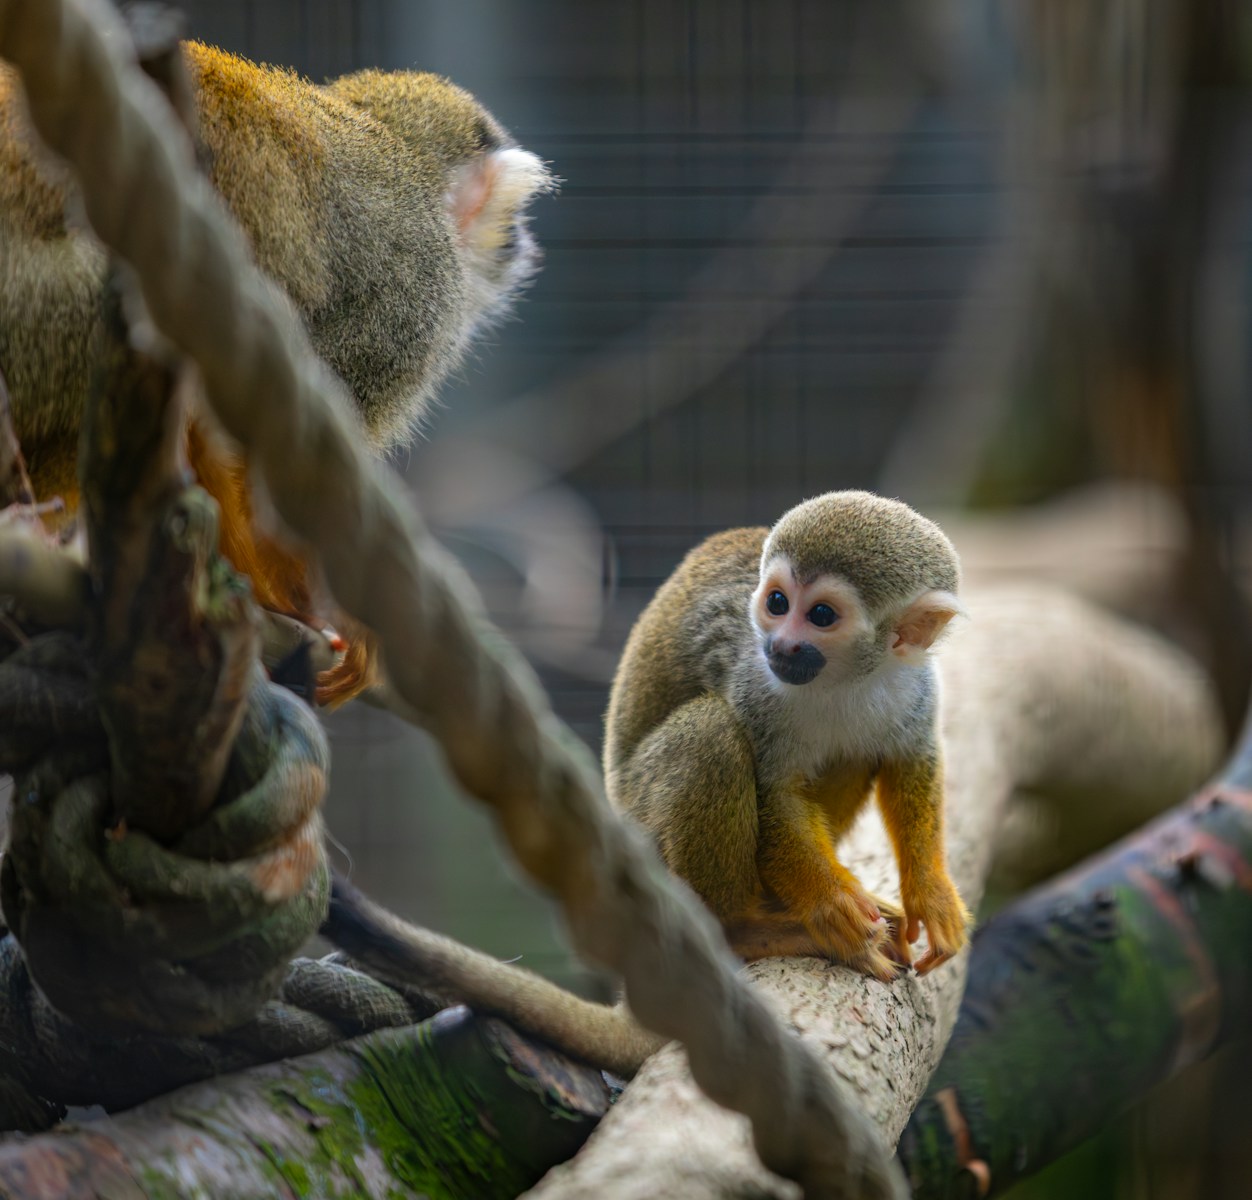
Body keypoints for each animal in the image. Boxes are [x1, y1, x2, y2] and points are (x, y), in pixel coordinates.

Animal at [604, 490, 971, 980]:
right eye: (777, 603)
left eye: (821, 615)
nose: (781, 645)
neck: (847, 678)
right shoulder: (755, 682)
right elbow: (774, 795)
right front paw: (831, 905)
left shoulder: (918, 683)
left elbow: (911, 761)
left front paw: (930, 894)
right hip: (638, 831)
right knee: (711, 733)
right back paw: (741, 929)